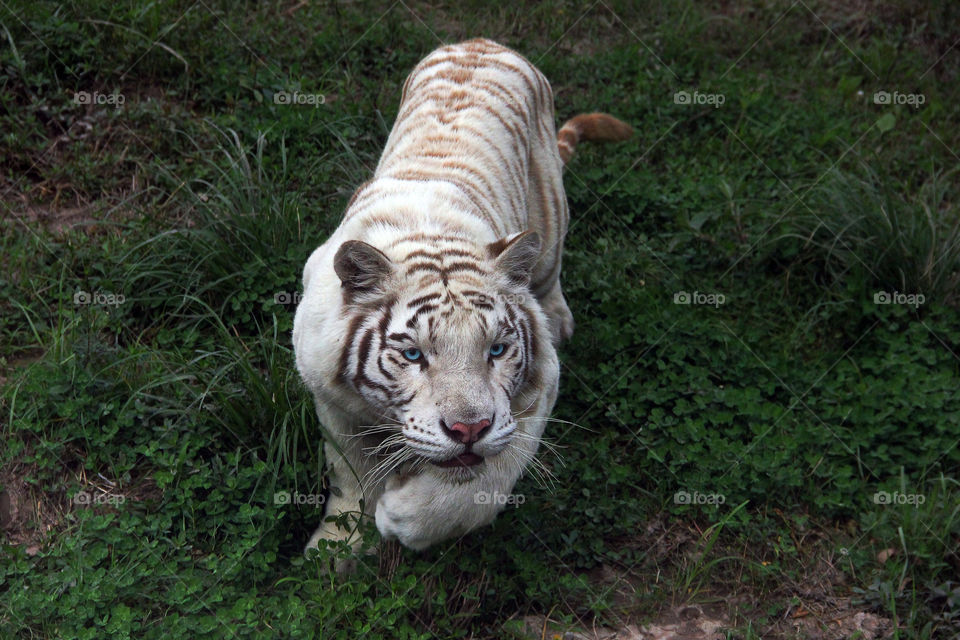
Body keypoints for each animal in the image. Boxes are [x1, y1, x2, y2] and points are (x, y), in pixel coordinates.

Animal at [293, 38, 631, 555]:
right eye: (413, 354)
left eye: (497, 350)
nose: (468, 430)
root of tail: (483, 43)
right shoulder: (330, 398)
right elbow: (350, 477)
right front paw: (335, 550)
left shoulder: (540, 384)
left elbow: (485, 481)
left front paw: (405, 516)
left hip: (550, 214)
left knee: (550, 269)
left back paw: (558, 317)